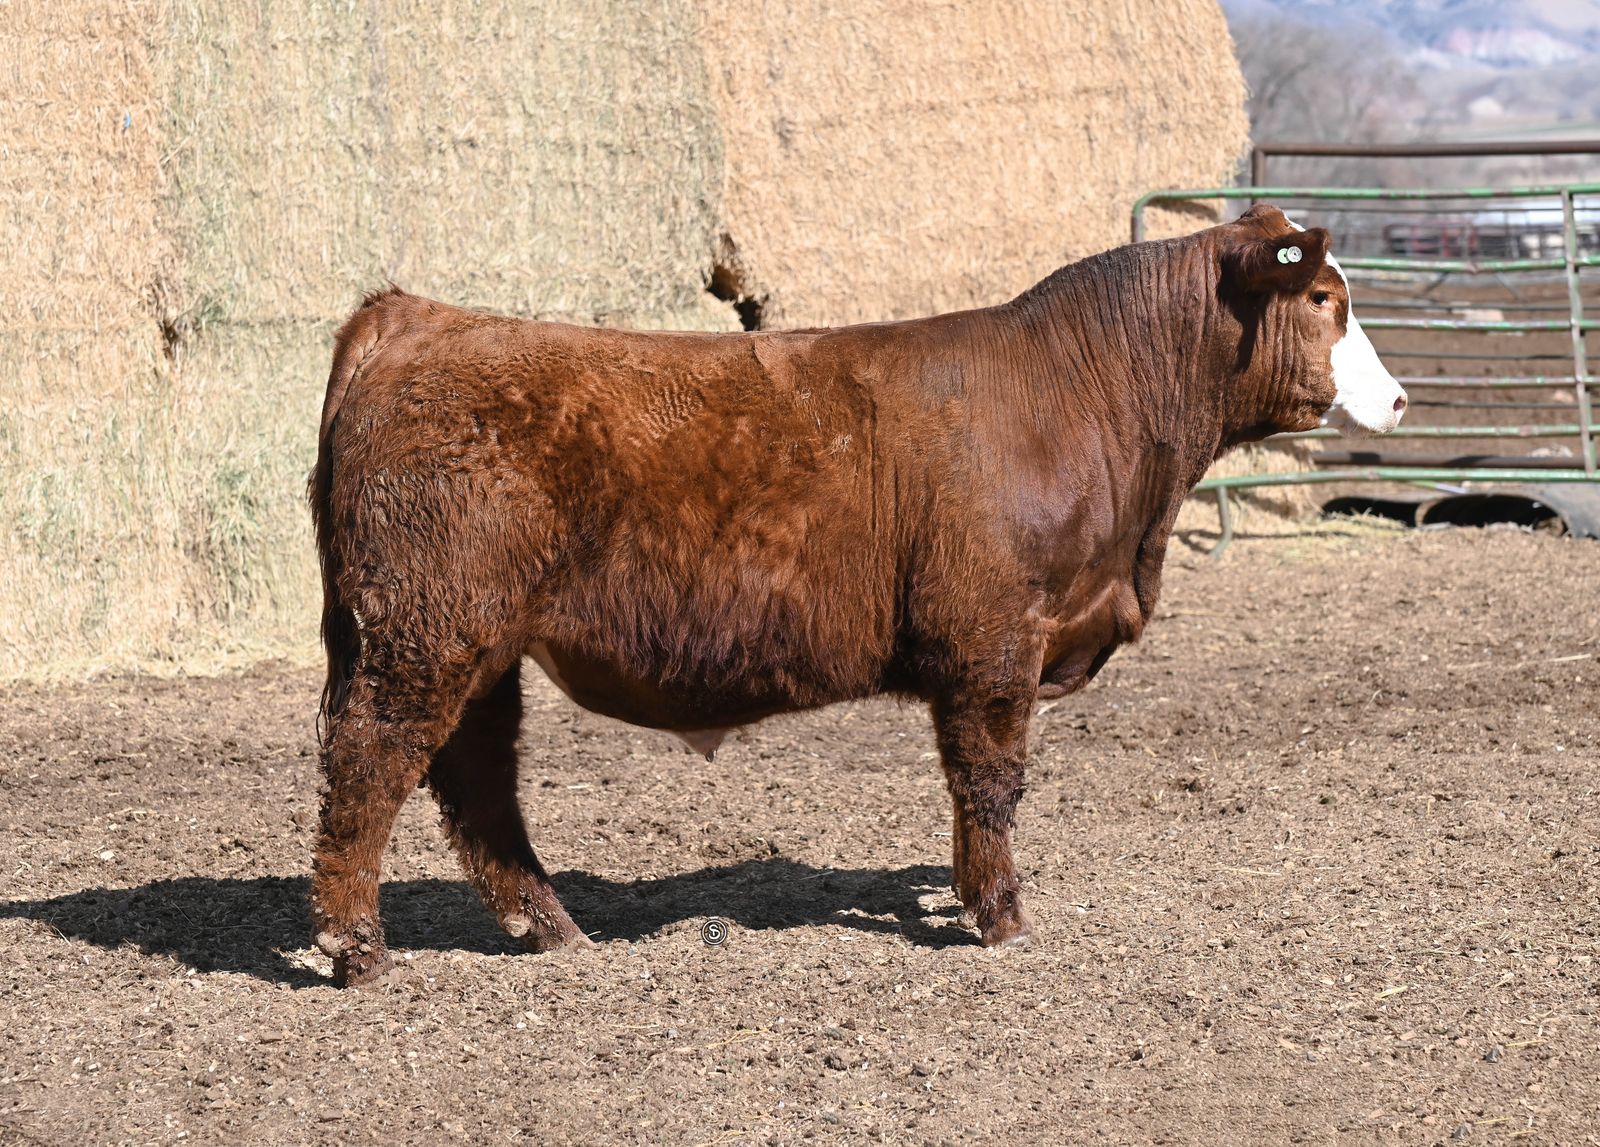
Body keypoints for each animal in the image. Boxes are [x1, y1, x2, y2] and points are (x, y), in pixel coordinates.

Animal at [307, 204, 1405, 986]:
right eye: (1323, 300)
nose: (1397, 399)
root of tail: (414, 316)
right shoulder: (992, 641)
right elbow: (990, 781)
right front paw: (1001, 917)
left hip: (477, 646)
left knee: (474, 781)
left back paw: (552, 927)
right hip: (425, 633)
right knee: (372, 763)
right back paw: (355, 947)